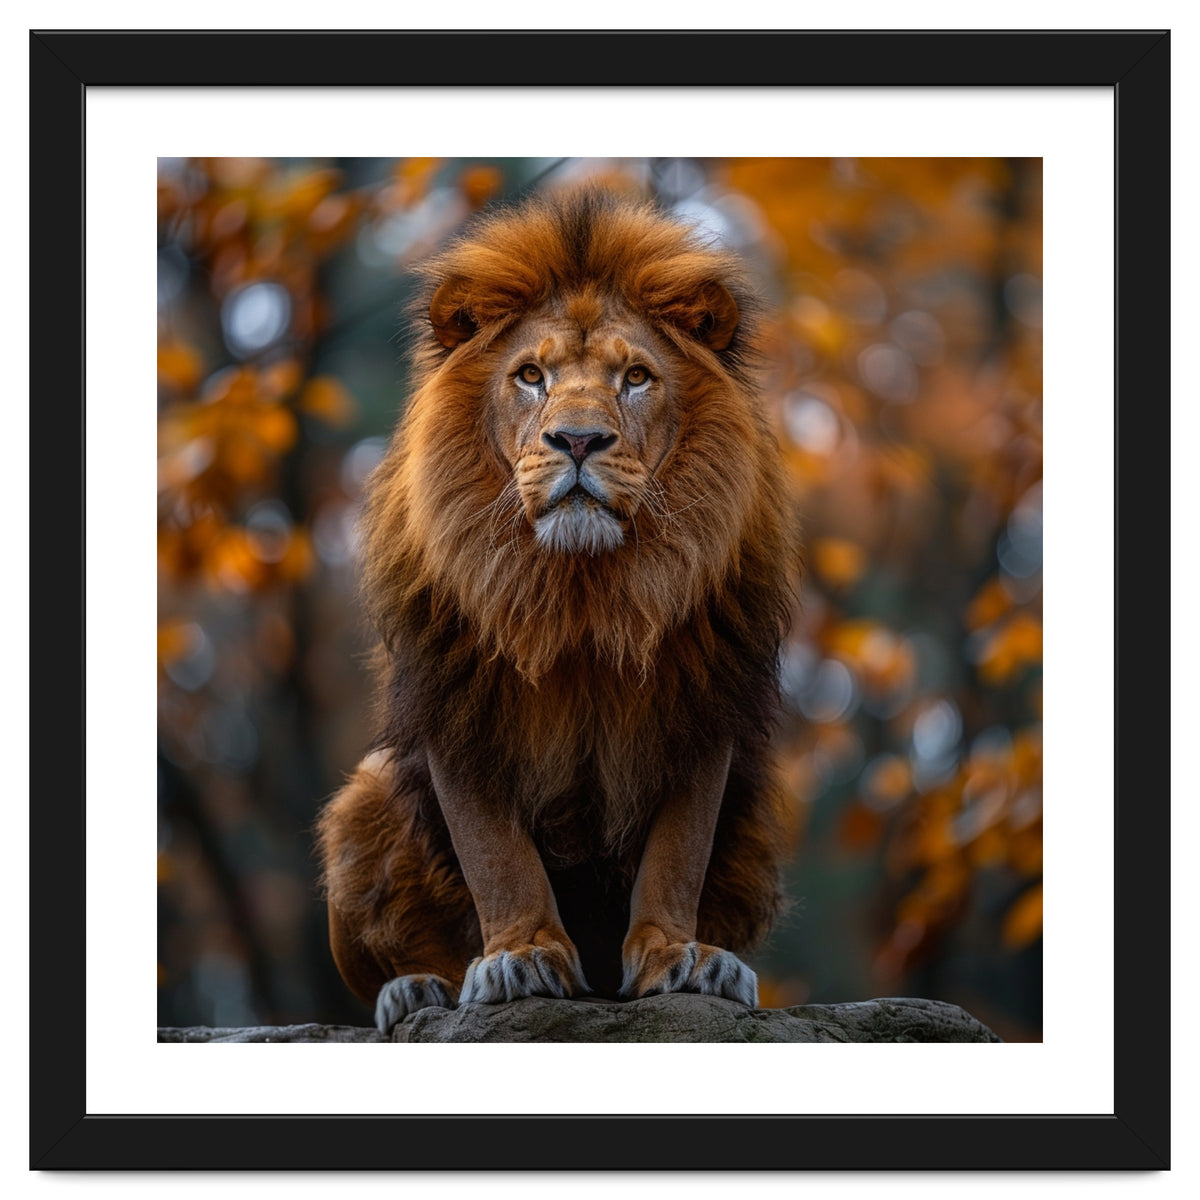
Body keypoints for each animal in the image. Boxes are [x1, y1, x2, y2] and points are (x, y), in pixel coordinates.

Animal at [317, 186, 800, 1033]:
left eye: (636, 376)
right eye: (531, 375)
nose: (577, 439)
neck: (583, 592)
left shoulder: (704, 701)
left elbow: (678, 852)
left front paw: (679, 957)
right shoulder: (455, 701)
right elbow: (495, 854)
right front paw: (520, 958)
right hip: (360, 799)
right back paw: (417, 988)